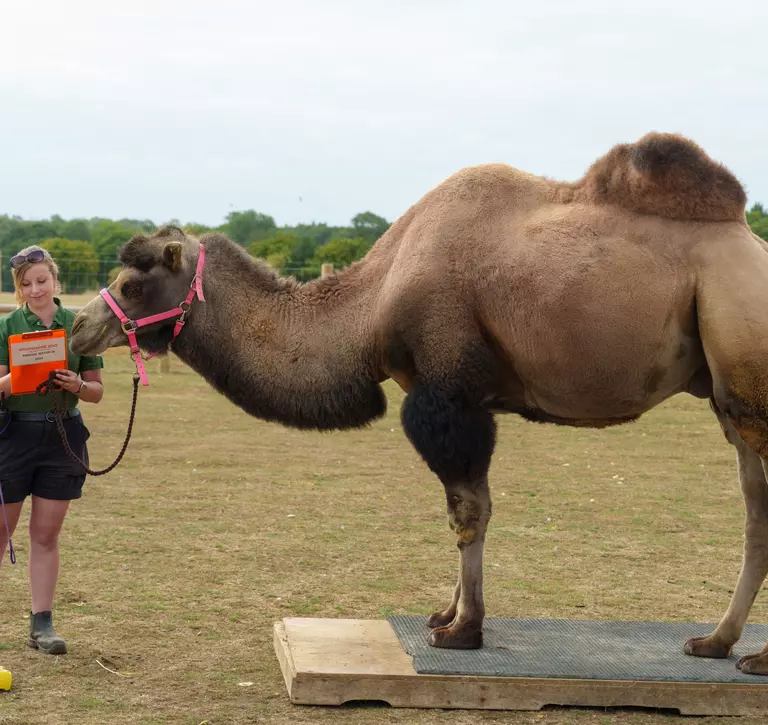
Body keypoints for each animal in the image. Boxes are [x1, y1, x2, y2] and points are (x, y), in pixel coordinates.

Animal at [70, 132, 768, 674]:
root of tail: (751, 248)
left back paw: (750, 656)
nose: (77, 331)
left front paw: (463, 631)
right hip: (731, 400)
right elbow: (468, 509)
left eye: (131, 284)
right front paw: (445, 613)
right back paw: (716, 642)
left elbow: (468, 510)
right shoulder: (455, 398)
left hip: (745, 355)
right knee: (755, 507)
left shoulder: (447, 395)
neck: (372, 299)